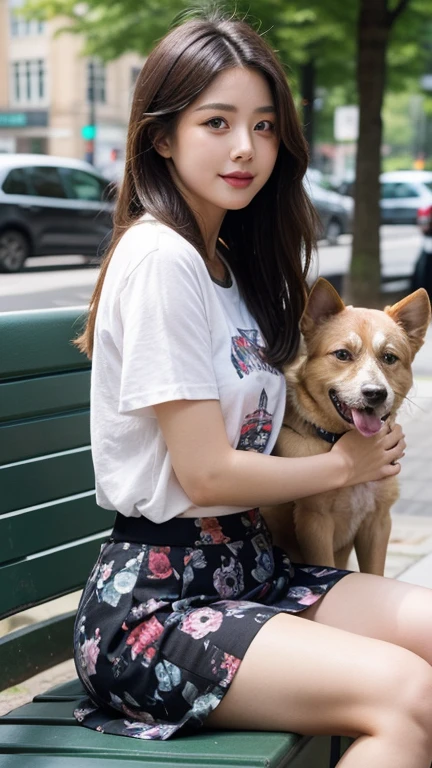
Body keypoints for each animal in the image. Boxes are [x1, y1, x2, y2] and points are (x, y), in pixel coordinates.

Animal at [262, 280, 430, 572]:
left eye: (389, 358)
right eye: (342, 354)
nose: (375, 393)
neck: (340, 439)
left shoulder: (378, 522)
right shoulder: (314, 524)